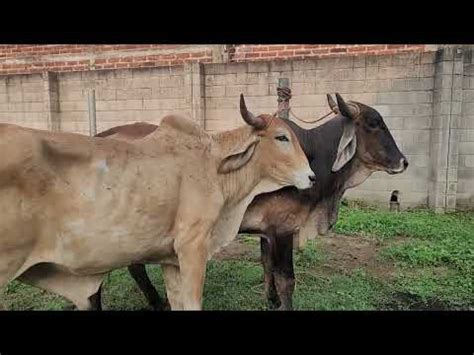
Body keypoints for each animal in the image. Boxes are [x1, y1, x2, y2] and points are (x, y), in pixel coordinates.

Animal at [92, 93, 408, 310]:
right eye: (374, 124)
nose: (403, 162)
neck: (315, 157)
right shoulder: (283, 231)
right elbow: (286, 279)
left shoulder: (268, 233)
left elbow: (267, 266)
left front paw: (271, 301)